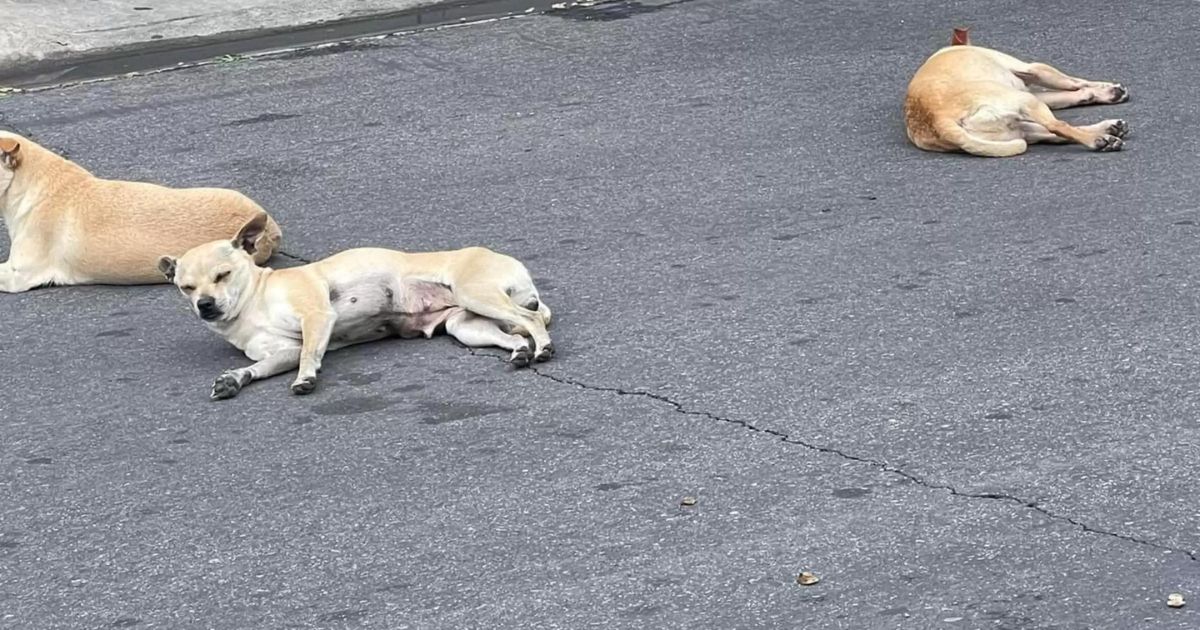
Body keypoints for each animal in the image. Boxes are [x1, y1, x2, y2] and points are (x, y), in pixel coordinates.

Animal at [157, 211, 554, 398]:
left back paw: (543, 347)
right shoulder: (282, 352)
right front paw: (234, 380)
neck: (253, 303)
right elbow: (261, 367)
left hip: (478, 296)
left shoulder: (316, 316)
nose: (205, 305)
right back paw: (521, 353)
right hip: (467, 325)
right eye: (186, 288)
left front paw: (305, 378)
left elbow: (309, 354)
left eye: (222, 275)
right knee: (515, 335)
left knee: (532, 320)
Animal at [902, 29, 1128, 157]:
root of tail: (937, 119)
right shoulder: (1035, 70)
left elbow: (1074, 93)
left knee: (1053, 134)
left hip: (1018, 125)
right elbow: (1075, 82)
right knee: (1057, 127)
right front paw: (1110, 90)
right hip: (1025, 101)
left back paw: (1109, 131)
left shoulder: (1036, 91)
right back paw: (1098, 139)